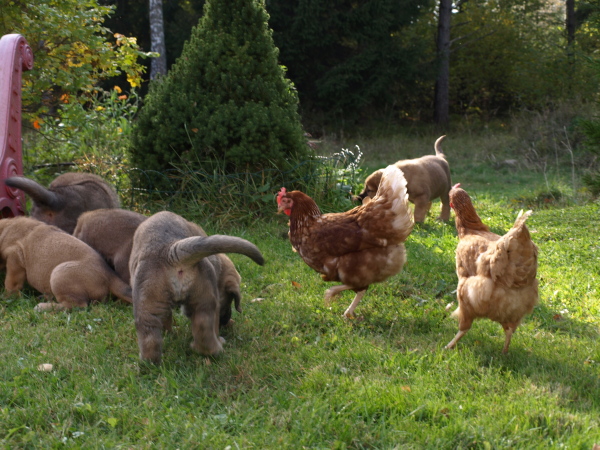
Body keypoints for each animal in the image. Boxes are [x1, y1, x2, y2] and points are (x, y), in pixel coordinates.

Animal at [0, 217, 132, 310]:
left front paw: (7, 297)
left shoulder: (14, 257)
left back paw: (44, 307)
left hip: (59, 273)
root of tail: (110, 276)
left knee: (77, 305)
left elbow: (11, 283)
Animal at [130, 212, 264, 366]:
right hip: (204, 297)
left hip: (148, 304)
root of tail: (170, 251)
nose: (226, 321)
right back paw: (214, 348)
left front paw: (169, 333)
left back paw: (150, 364)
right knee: (204, 329)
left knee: (150, 337)